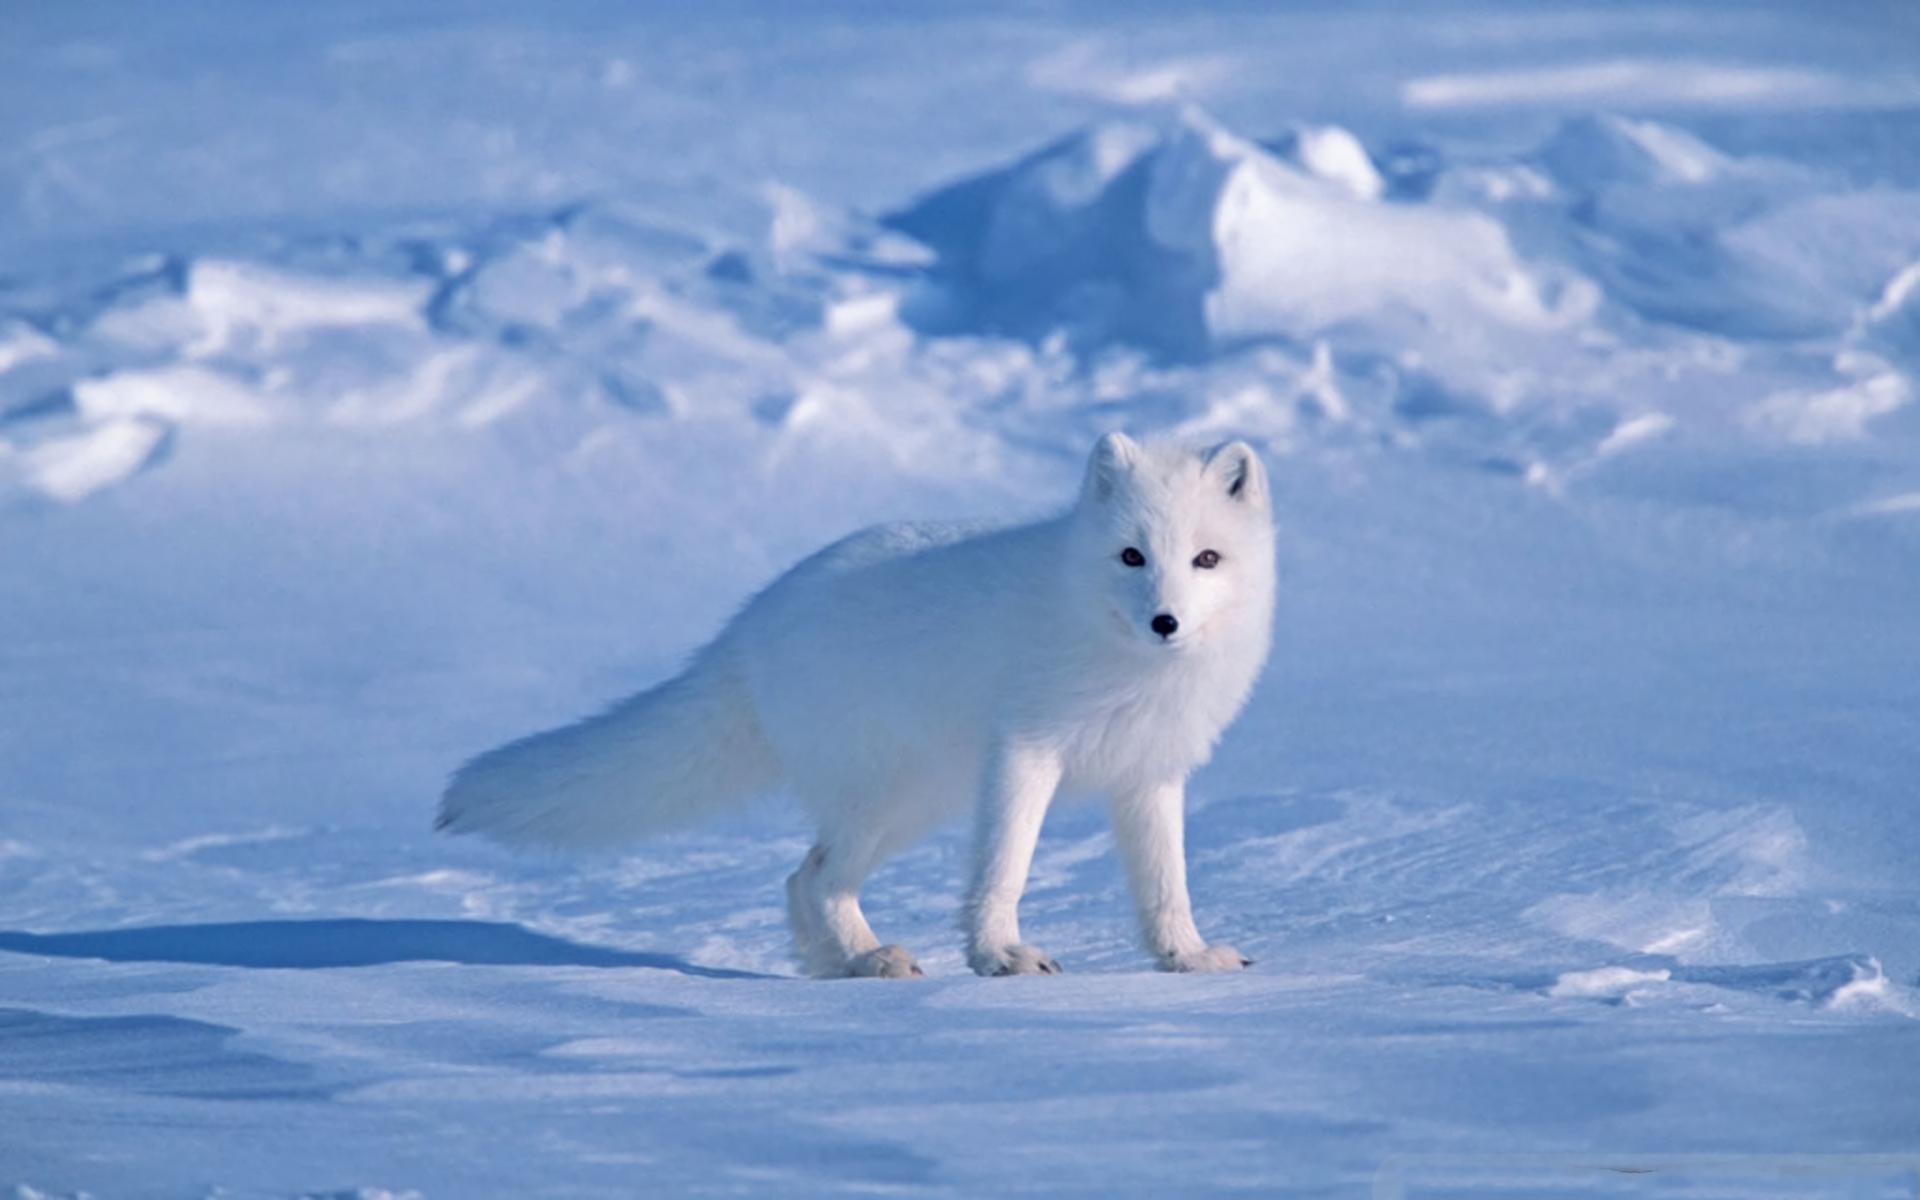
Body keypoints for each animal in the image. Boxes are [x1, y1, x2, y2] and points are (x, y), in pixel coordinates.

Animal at [437, 432, 1276, 978]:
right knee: (816, 876)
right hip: (887, 796)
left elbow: (1166, 883)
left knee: (801, 875)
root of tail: (746, 628)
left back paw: (840, 965)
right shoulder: (1025, 751)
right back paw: (868, 959)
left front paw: (1186, 956)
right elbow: (1005, 866)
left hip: (913, 802)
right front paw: (999, 955)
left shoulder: (1150, 773)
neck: (1121, 657)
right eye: (1131, 556)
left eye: (1205, 559)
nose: (1165, 621)